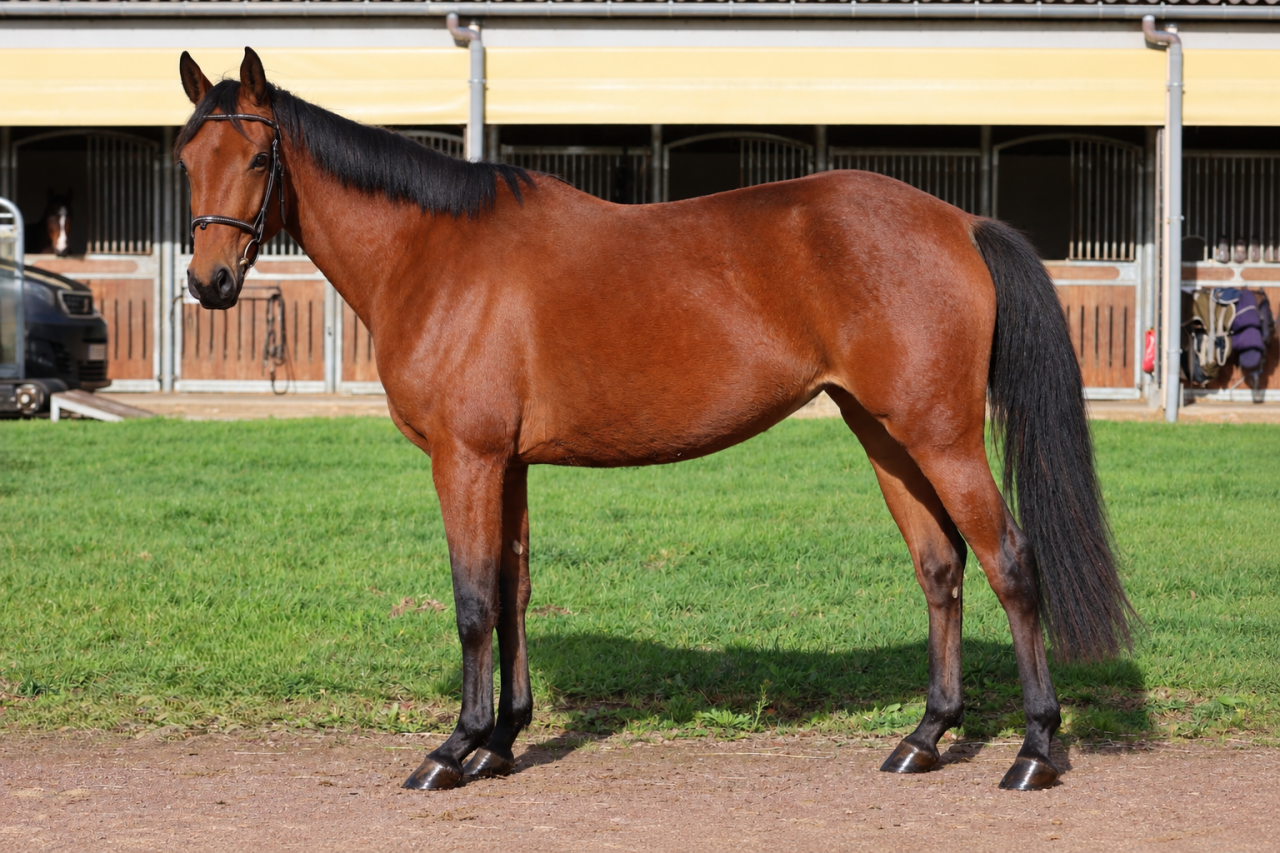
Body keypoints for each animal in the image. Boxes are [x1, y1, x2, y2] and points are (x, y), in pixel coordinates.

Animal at [176, 48, 1135, 793]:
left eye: (258, 159)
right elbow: (515, 590)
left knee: (1011, 563)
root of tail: (959, 221)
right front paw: (501, 742)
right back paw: (925, 737)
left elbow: (474, 600)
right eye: (188, 158)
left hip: (941, 436)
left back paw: (1035, 750)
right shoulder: (509, 463)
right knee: (940, 566)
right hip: (885, 433)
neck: (437, 255)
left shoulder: (466, 457)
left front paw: (454, 748)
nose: (209, 282)